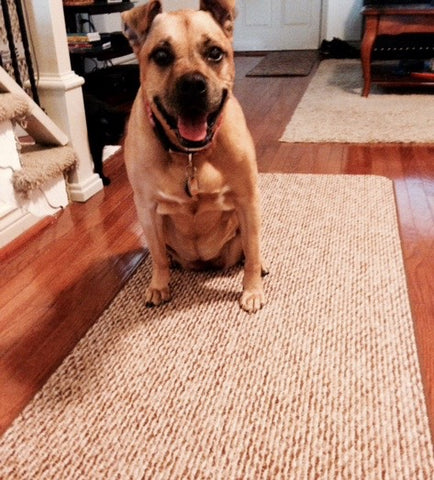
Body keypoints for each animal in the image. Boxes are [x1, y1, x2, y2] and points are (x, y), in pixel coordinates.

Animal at [120, 0, 266, 314]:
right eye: (161, 55)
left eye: (215, 53)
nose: (192, 84)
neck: (190, 156)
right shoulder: (147, 208)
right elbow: (158, 256)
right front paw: (159, 285)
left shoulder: (247, 199)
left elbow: (252, 251)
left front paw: (252, 290)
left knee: (250, 249)